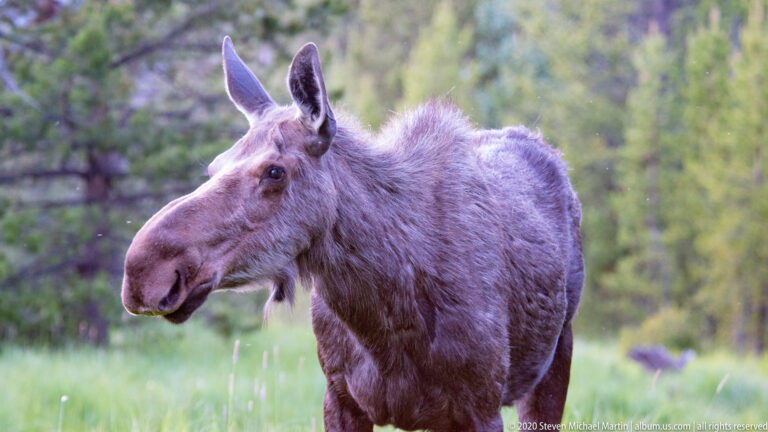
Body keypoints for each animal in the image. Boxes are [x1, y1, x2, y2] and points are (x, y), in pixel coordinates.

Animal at [121, 37, 584, 432]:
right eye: (214, 166)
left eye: (275, 171)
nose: (142, 272)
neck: (387, 317)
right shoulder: (341, 398)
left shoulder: (481, 406)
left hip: (557, 353)